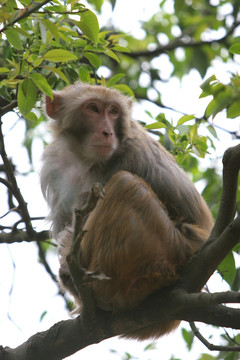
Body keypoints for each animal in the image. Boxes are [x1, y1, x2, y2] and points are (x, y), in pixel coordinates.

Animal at [40, 81, 213, 340]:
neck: (85, 159)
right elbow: (64, 224)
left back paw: (102, 290)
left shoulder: (132, 152)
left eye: (113, 112)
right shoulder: (55, 164)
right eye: (93, 108)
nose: (107, 132)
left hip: (169, 250)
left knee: (126, 185)